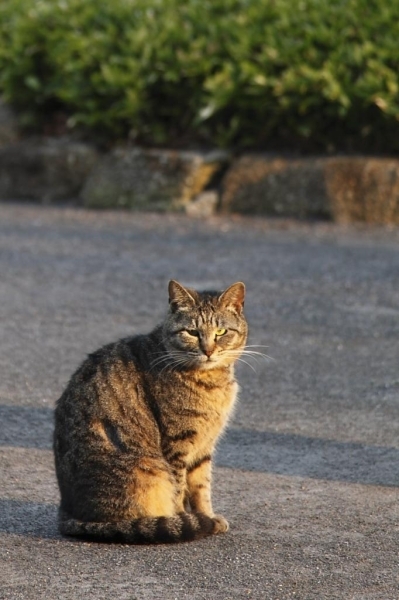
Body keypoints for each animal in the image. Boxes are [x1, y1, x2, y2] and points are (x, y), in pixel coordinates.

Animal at [53, 280, 247, 544]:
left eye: (221, 332)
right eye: (192, 332)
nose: (208, 351)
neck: (212, 380)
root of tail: (67, 512)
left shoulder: (204, 446)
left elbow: (201, 488)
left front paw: (206, 516)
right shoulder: (177, 444)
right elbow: (179, 490)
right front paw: (186, 520)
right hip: (147, 468)